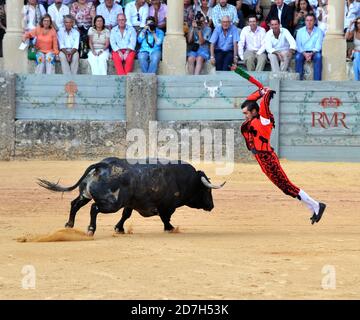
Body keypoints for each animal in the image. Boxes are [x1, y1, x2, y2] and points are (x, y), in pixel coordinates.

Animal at [38, 158, 225, 235]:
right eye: (207, 190)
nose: (212, 206)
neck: (184, 179)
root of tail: (103, 165)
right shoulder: (166, 205)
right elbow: (165, 217)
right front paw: (170, 228)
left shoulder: (131, 203)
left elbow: (126, 215)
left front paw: (119, 229)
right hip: (111, 203)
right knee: (94, 208)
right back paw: (90, 230)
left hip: (85, 194)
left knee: (75, 204)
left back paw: (69, 225)